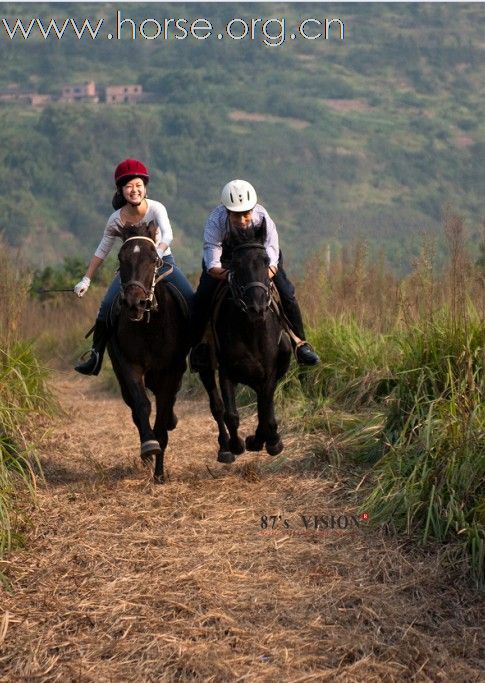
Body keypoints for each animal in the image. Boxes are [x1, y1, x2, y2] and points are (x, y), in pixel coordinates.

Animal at [108, 222, 189, 484]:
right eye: (120, 258)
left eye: (154, 258)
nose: (135, 303)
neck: (149, 325)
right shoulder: (129, 365)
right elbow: (142, 405)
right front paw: (149, 447)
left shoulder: (171, 371)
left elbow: (163, 414)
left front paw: (160, 474)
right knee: (135, 407)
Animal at [197, 223, 292, 464]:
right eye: (236, 264)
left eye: (266, 261)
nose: (256, 306)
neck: (251, 329)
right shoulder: (226, 372)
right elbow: (230, 414)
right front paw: (238, 444)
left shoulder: (269, 372)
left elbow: (265, 411)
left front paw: (267, 441)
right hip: (206, 367)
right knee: (217, 407)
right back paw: (225, 448)